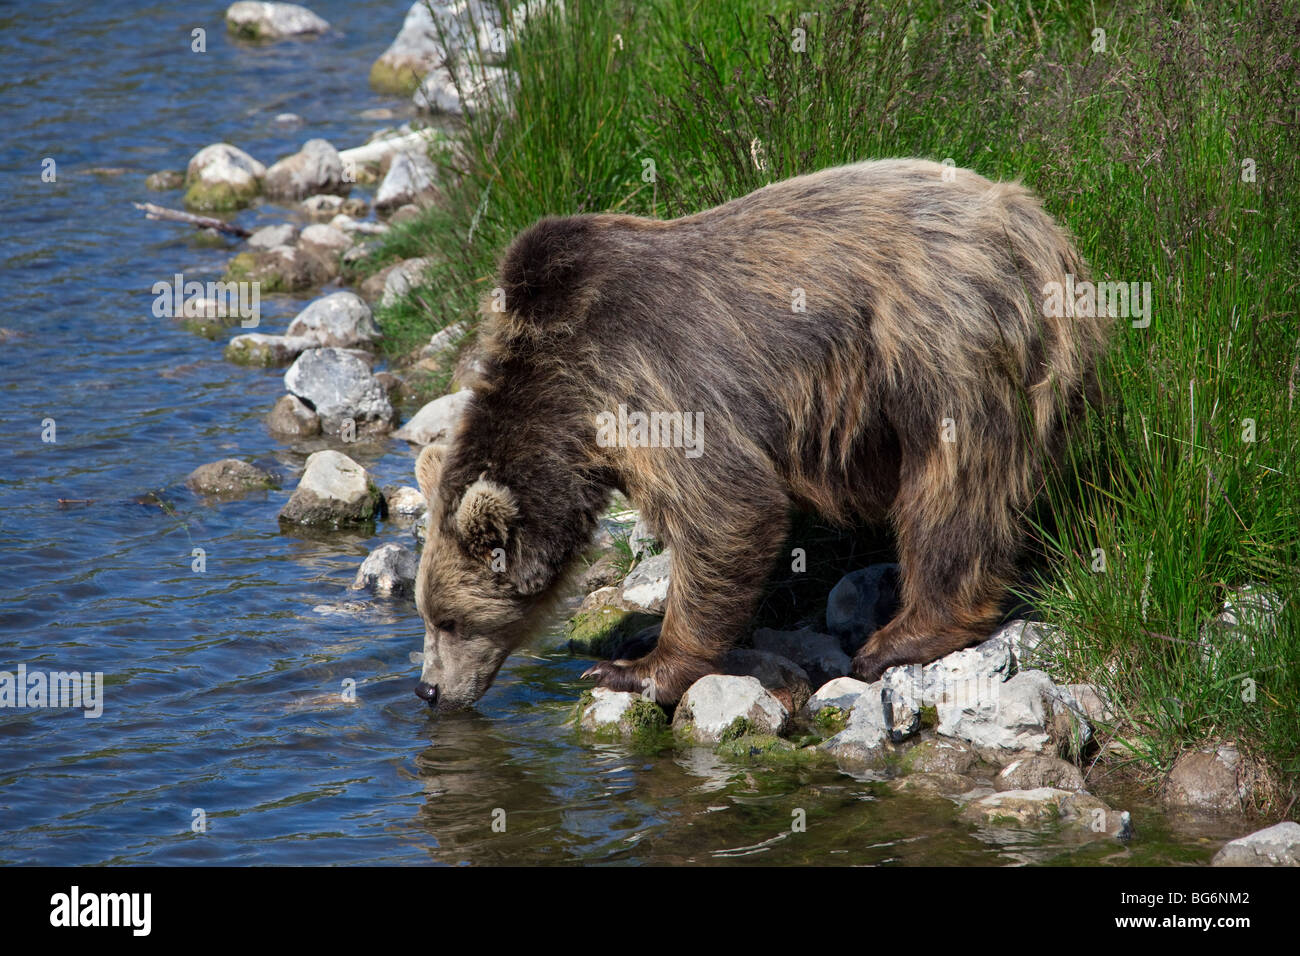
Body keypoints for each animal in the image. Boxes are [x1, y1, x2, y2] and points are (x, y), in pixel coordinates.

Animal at [405, 157, 1107, 712]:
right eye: (426, 615)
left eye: (449, 620)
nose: (428, 689)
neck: (565, 397)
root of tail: (1033, 221)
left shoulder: (646, 379)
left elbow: (729, 507)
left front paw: (634, 668)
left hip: (937, 338)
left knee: (953, 483)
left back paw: (900, 636)